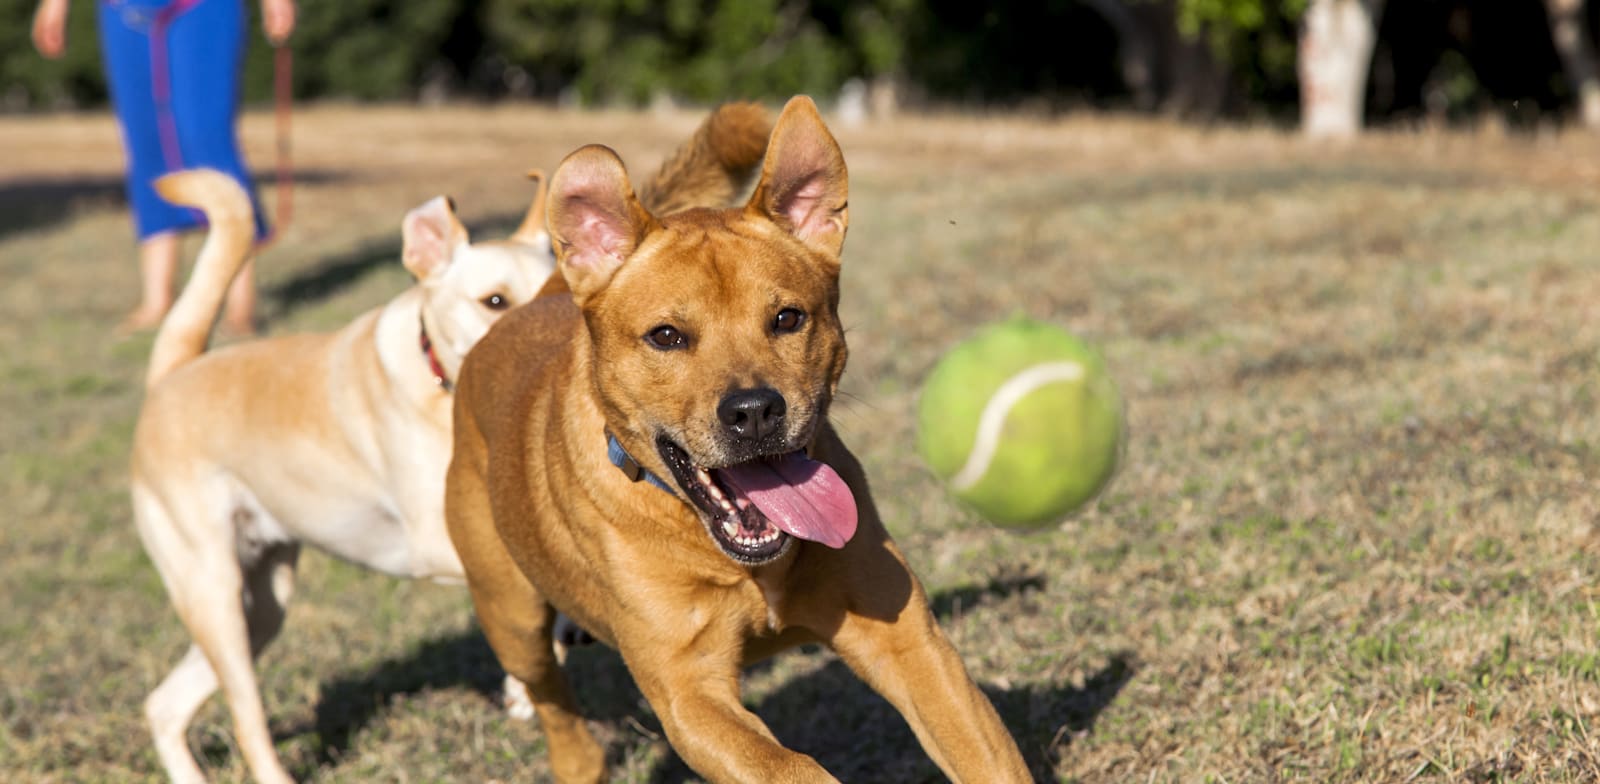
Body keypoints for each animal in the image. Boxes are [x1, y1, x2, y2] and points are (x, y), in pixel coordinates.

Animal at [444, 94, 1030, 780]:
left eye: (788, 318)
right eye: (666, 336)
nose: (754, 411)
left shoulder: (908, 640)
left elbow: (983, 754)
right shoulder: (688, 693)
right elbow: (789, 767)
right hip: (510, 613)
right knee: (551, 697)